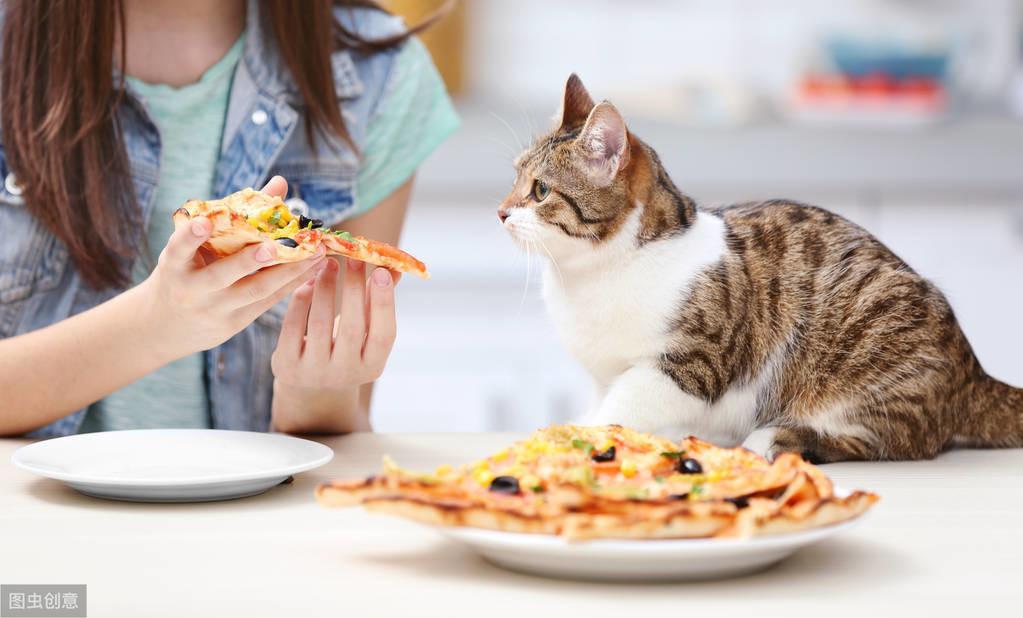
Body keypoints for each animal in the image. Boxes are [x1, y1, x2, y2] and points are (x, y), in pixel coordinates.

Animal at [497, 73, 1023, 458]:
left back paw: (777, 437)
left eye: (540, 190)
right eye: (515, 177)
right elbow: (604, 399)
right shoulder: (601, 373)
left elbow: (624, 404)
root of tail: (973, 372)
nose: (500, 211)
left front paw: (580, 436)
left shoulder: (693, 363)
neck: (591, 276)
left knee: (886, 442)